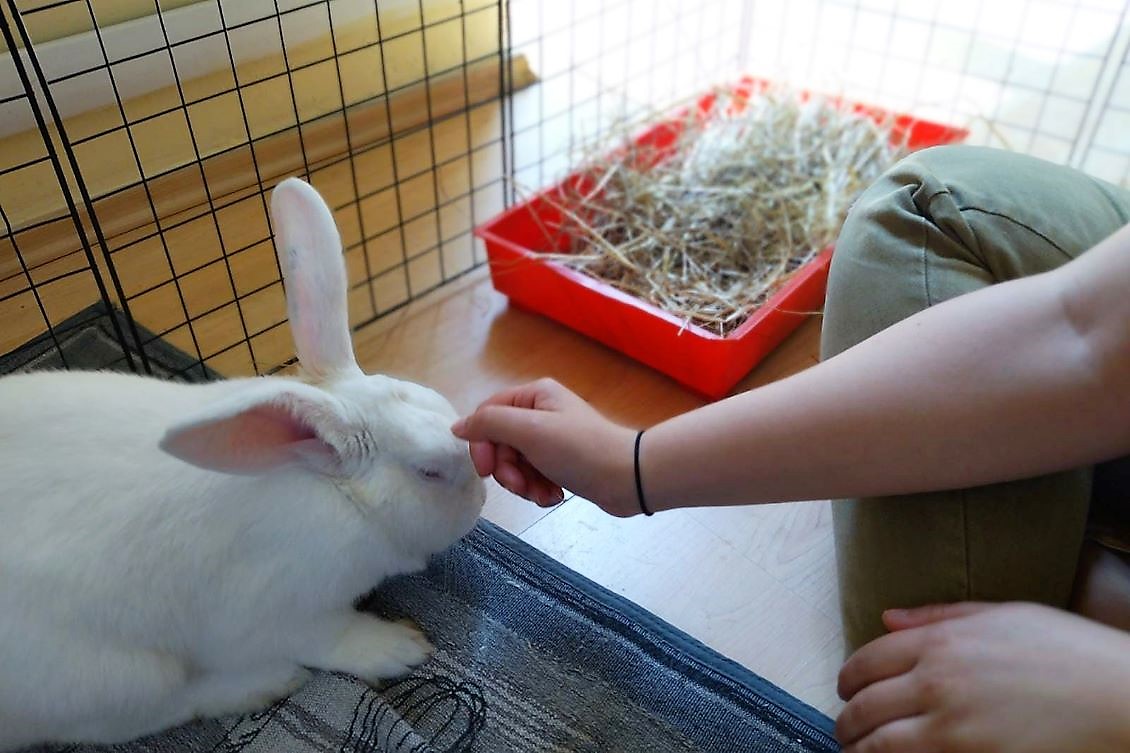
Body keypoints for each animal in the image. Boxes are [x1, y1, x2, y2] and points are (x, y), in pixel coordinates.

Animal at [0, 177, 481, 750]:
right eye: (430, 471)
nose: (481, 500)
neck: (340, 498)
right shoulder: (278, 612)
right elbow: (330, 638)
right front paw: (399, 648)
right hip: (112, 677)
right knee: (145, 714)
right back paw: (264, 684)